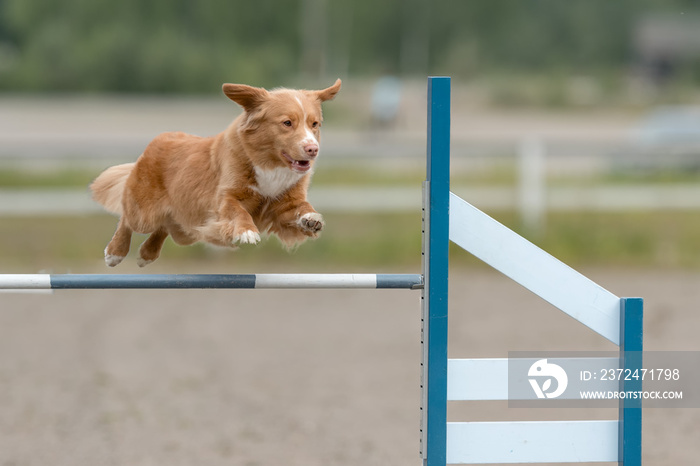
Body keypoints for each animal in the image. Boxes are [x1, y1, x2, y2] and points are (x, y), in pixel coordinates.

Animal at [90, 79, 342, 266]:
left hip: (187, 226)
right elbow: (239, 211)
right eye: (287, 123)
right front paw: (247, 232)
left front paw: (311, 219)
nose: (313, 149)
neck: (269, 164)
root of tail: (157, 140)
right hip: (145, 212)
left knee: (164, 227)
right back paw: (114, 252)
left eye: (315, 124)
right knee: (127, 218)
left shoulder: (284, 204)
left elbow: (301, 206)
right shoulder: (225, 197)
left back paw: (146, 254)